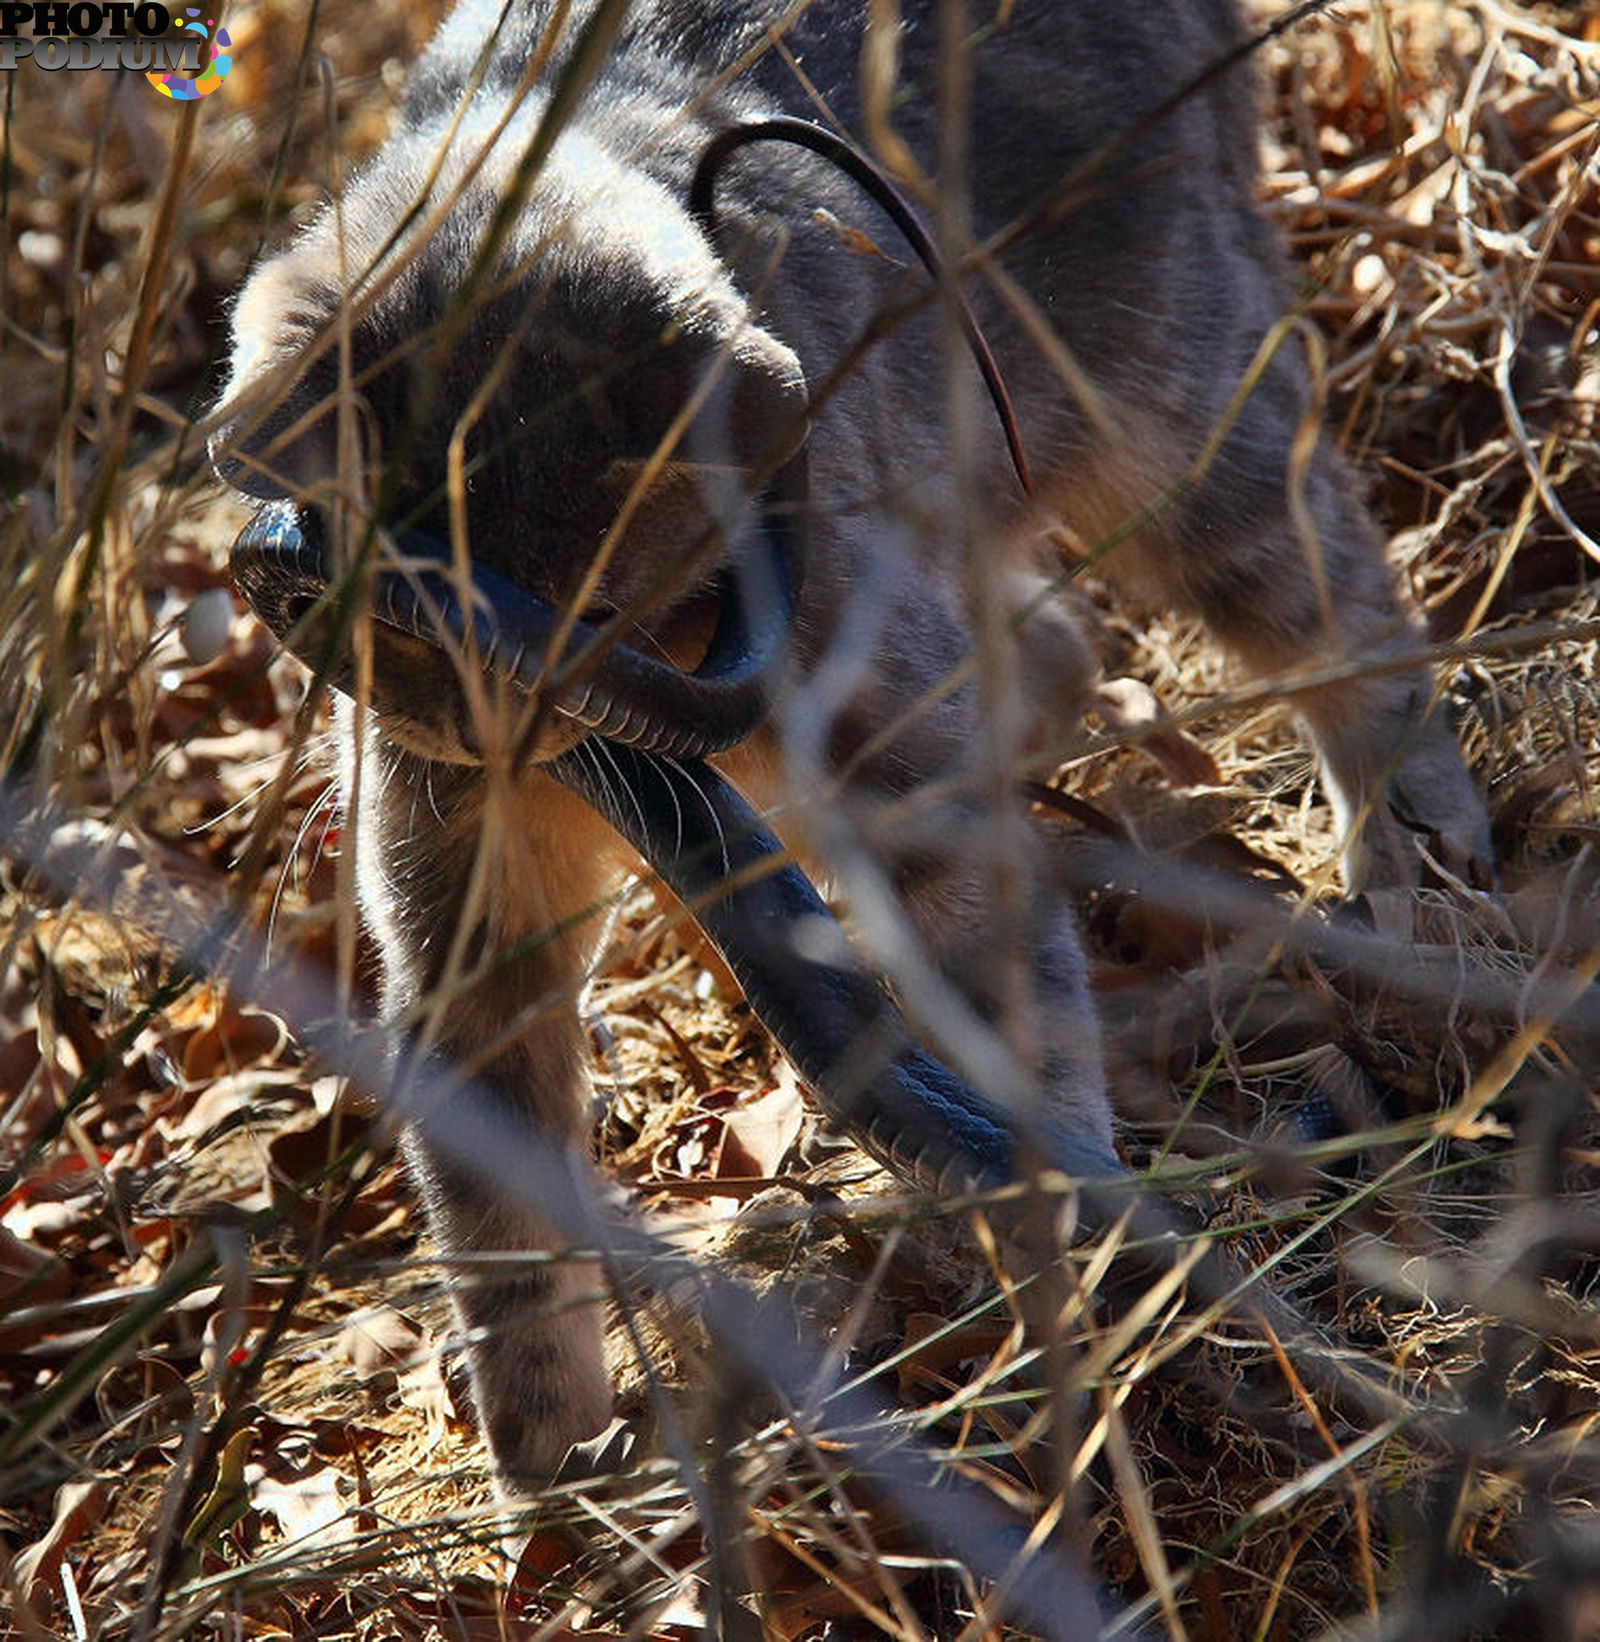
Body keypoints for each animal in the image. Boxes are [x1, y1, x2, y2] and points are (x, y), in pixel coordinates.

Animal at [213, 0, 1491, 1490]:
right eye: (396, 627)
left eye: (597, 612)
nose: (516, 735)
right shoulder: (458, 897)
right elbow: (495, 1193)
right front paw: (547, 1464)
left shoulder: (912, 795)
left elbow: (1021, 1054)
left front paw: (1065, 1338)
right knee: (1063, 646)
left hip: (1179, 433)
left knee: (1341, 599)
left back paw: (1412, 847)